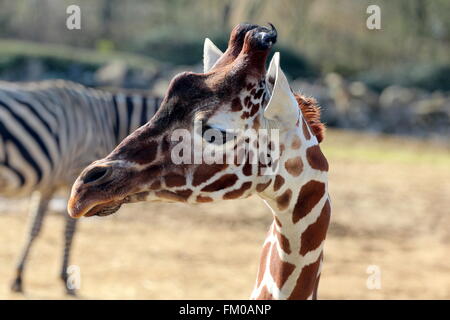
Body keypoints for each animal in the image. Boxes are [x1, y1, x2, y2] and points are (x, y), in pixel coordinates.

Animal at [0, 80, 162, 296]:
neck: (111, 120)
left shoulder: (49, 184)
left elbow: (34, 228)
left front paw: (18, 278)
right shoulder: (76, 175)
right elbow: (69, 230)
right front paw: (65, 280)